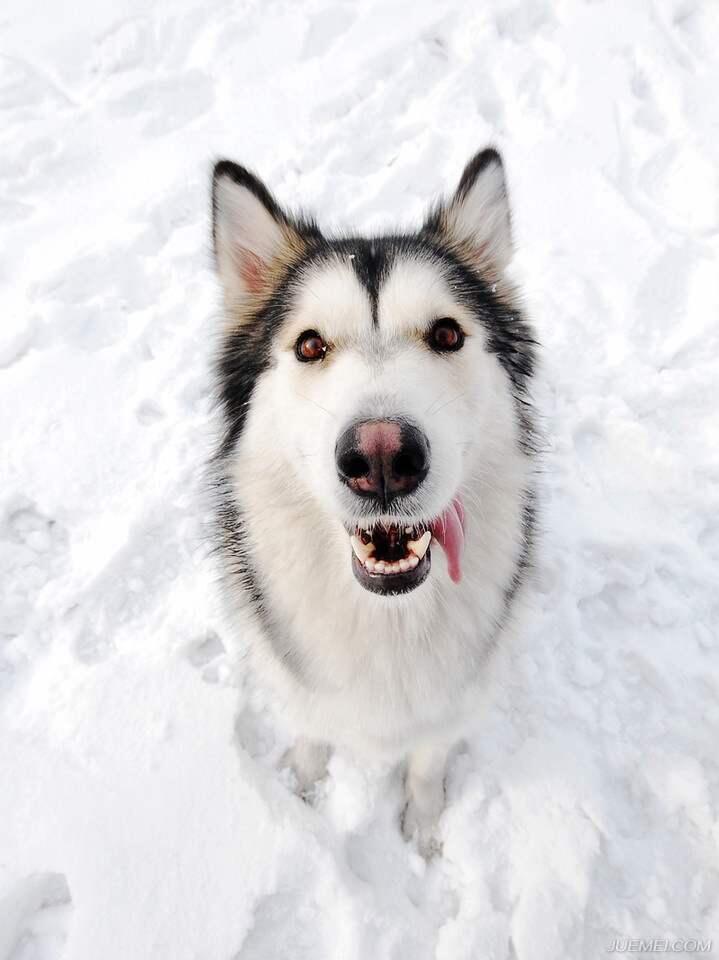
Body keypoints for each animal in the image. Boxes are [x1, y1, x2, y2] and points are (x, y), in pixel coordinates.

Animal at [208, 150, 536, 856]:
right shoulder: (297, 680)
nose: (382, 459)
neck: (388, 619)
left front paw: (424, 827)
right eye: (310, 345)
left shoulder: (452, 700)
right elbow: (310, 729)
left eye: (447, 334)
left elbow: (427, 764)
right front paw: (301, 785)